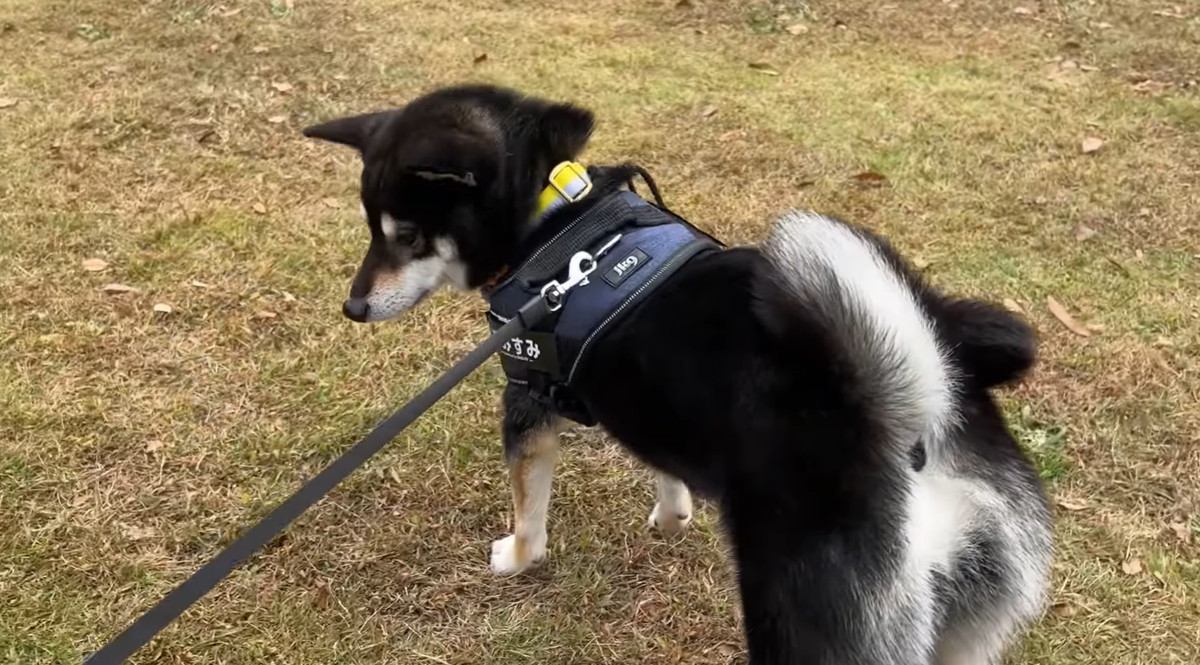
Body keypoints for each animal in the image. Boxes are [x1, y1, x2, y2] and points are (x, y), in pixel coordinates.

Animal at [304, 85, 1056, 657]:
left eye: (405, 235)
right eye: (371, 228)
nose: (352, 307)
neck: (559, 224)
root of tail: (914, 425)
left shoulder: (527, 399)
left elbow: (529, 512)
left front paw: (516, 558)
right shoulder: (649, 406)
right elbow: (662, 463)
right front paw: (672, 514)